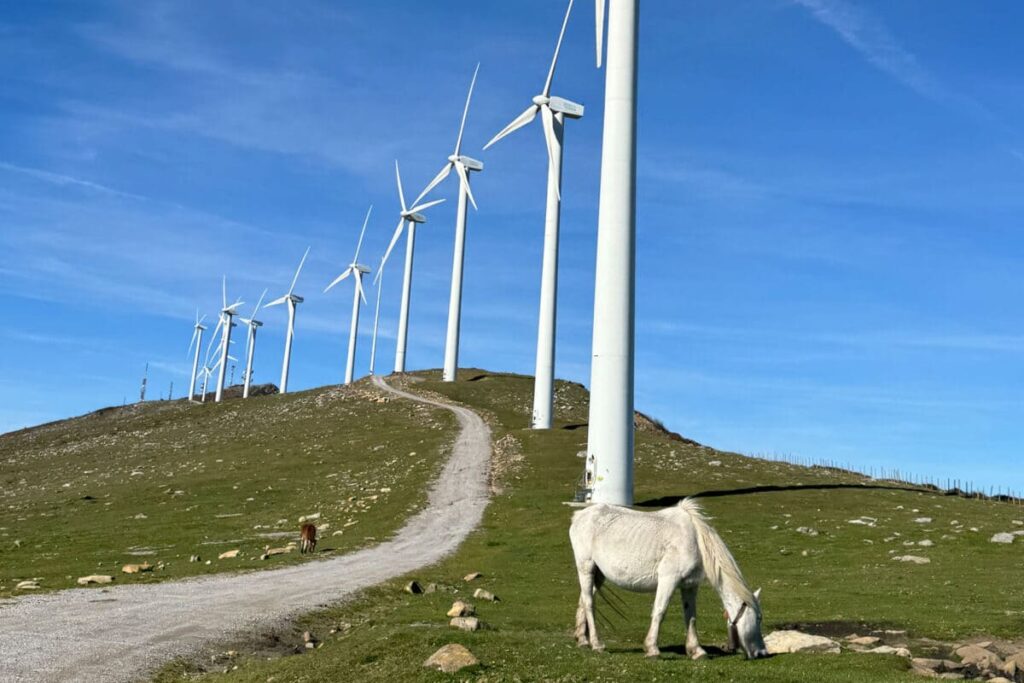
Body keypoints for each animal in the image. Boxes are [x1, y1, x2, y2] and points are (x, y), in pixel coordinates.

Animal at [569, 498, 768, 660]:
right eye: (758, 618)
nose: (762, 653)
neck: (695, 540)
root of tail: (579, 516)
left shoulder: (689, 586)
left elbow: (691, 616)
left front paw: (696, 651)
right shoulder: (668, 580)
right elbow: (660, 611)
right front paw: (652, 649)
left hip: (598, 575)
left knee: (584, 600)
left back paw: (582, 640)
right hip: (586, 568)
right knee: (589, 603)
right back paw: (596, 644)